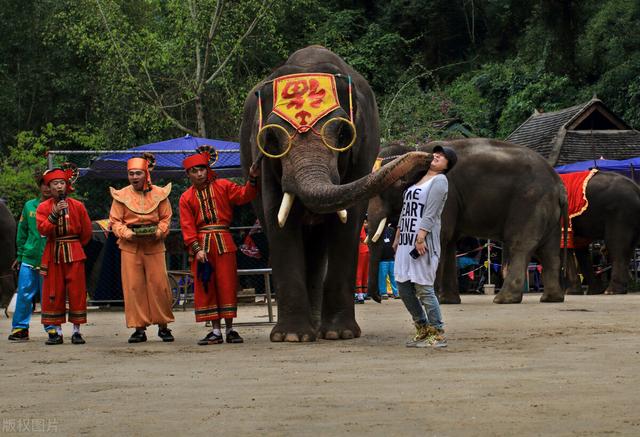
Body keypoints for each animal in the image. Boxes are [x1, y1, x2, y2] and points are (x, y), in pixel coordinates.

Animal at [239, 46, 430, 340]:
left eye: (343, 132)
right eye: (271, 137)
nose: (426, 155)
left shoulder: (363, 150)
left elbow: (349, 220)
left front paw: (340, 334)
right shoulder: (263, 158)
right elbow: (276, 216)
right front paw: (292, 336)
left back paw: (318, 329)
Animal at [364, 139, 568, 304]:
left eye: (394, 186)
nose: (377, 298)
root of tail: (559, 183)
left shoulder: (446, 195)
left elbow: (442, 235)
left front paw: (431, 299)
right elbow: (449, 242)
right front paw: (448, 301)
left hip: (530, 202)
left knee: (521, 245)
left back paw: (503, 299)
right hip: (548, 212)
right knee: (549, 251)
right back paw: (551, 298)